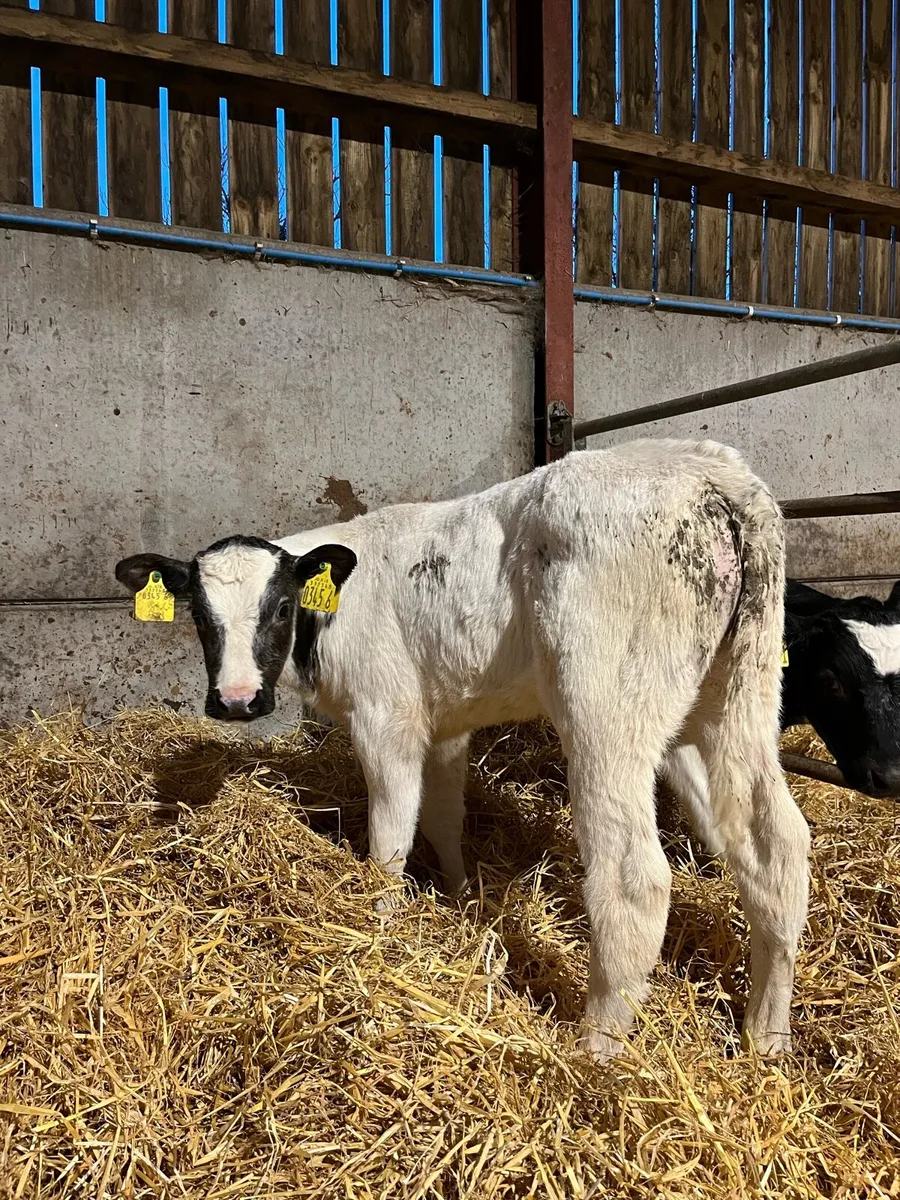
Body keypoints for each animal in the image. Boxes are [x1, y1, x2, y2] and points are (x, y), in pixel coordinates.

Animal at [116, 438, 810, 1063]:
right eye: (200, 618)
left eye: (282, 606)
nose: (236, 701)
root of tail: (710, 474)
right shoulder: (445, 724)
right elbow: (445, 817)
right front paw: (458, 895)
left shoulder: (386, 717)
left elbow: (389, 842)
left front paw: (378, 924)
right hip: (736, 700)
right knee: (776, 842)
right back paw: (766, 1036)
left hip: (608, 711)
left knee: (634, 877)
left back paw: (595, 1049)